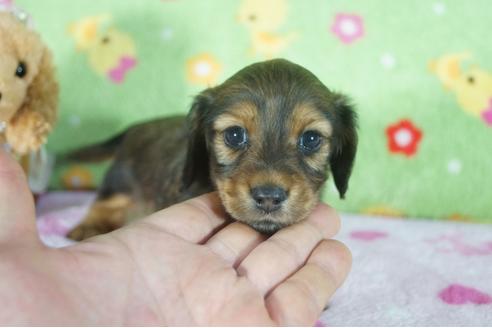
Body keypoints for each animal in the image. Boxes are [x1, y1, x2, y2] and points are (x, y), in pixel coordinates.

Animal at [66, 58, 358, 241]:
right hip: (120, 182)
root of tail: (136, 127)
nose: (268, 197)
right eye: (234, 135)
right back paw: (88, 227)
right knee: (103, 201)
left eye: (311, 139)